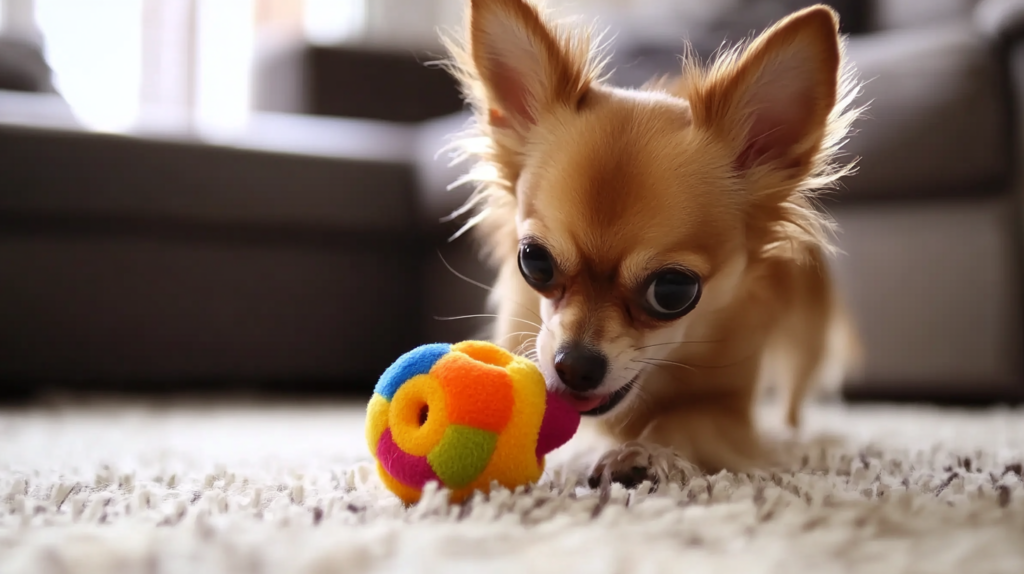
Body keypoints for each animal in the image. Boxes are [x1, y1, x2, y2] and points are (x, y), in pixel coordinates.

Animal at [442, 0, 864, 480]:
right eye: (535, 262)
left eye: (673, 291)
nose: (575, 367)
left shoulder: (727, 409)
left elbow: (684, 419)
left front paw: (643, 452)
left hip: (805, 329)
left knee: (796, 390)